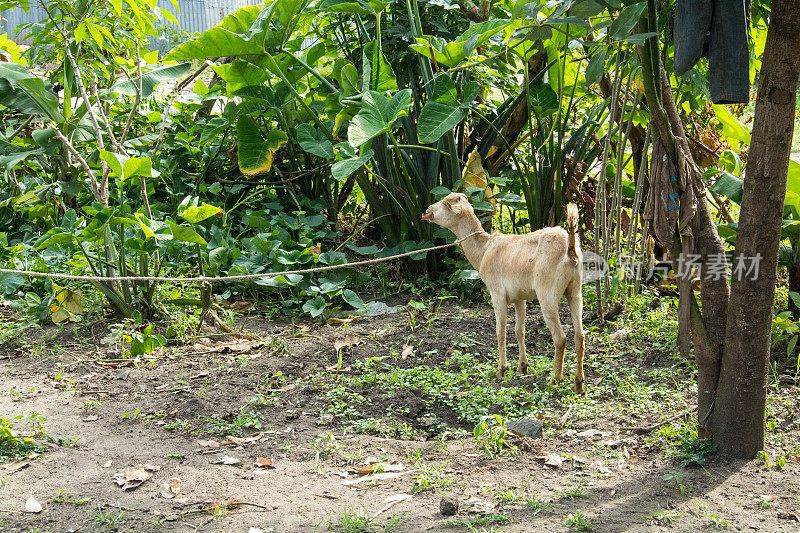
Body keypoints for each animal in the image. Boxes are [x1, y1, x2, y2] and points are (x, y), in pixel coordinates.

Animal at [422, 193, 584, 392]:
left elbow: (501, 331)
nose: (427, 210)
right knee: (579, 336)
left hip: (548, 295)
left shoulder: (497, 294)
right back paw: (578, 383)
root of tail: (570, 249)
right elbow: (519, 330)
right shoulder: (520, 297)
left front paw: (502, 369)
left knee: (560, 338)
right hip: (575, 290)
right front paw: (522, 367)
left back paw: (555, 379)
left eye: (446, 203)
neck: (484, 249)